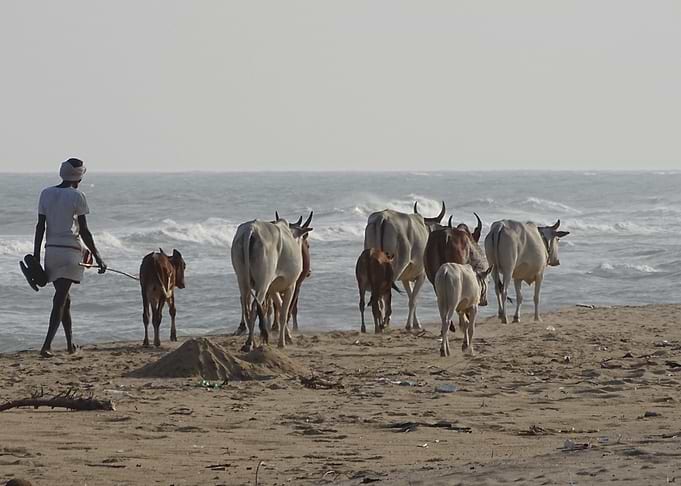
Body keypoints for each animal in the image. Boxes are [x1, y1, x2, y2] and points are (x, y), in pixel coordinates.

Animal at [231, 218, 312, 351]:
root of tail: (251, 228)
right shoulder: (291, 286)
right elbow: (283, 312)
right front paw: (281, 342)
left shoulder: (273, 288)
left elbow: (279, 305)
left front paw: (288, 336)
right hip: (263, 282)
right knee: (254, 306)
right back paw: (249, 343)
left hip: (242, 280)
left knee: (246, 307)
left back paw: (252, 342)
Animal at [363, 201, 446, 330]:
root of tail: (382, 217)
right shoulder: (421, 276)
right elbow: (413, 300)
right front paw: (410, 325)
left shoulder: (406, 279)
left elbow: (411, 296)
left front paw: (415, 322)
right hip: (397, 266)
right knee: (386, 292)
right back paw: (385, 320)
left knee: (378, 295)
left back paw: (379, 321)